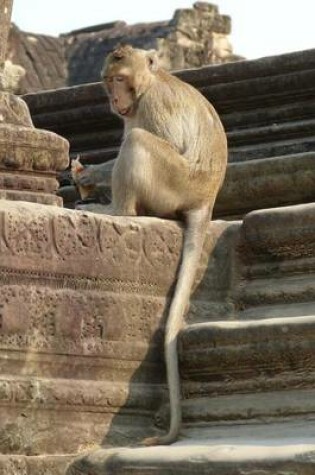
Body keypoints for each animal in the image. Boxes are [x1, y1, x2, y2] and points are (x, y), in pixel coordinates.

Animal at [77, 44, 228, 446]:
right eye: (108, 80)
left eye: (120, 78)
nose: (115, 99)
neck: (149, 82)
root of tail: (205, 201)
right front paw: (85, 174)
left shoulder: (152, 106)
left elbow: (154, 138)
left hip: (175, 182)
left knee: (140, 141)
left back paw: (117, 210)